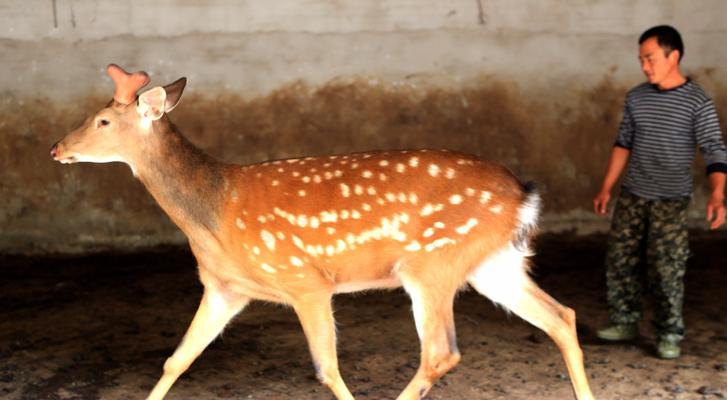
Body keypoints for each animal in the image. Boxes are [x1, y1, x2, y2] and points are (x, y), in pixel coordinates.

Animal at [51, 64, 596, 398]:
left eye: (102, 120)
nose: (56, 148)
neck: (214, 213)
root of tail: (524, 195)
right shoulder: (225, 287)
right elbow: (176, 360)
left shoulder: (305, 280)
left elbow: (327, 369)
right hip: (493, 264)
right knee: (561, 316)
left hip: (432, 263)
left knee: (441, 352)